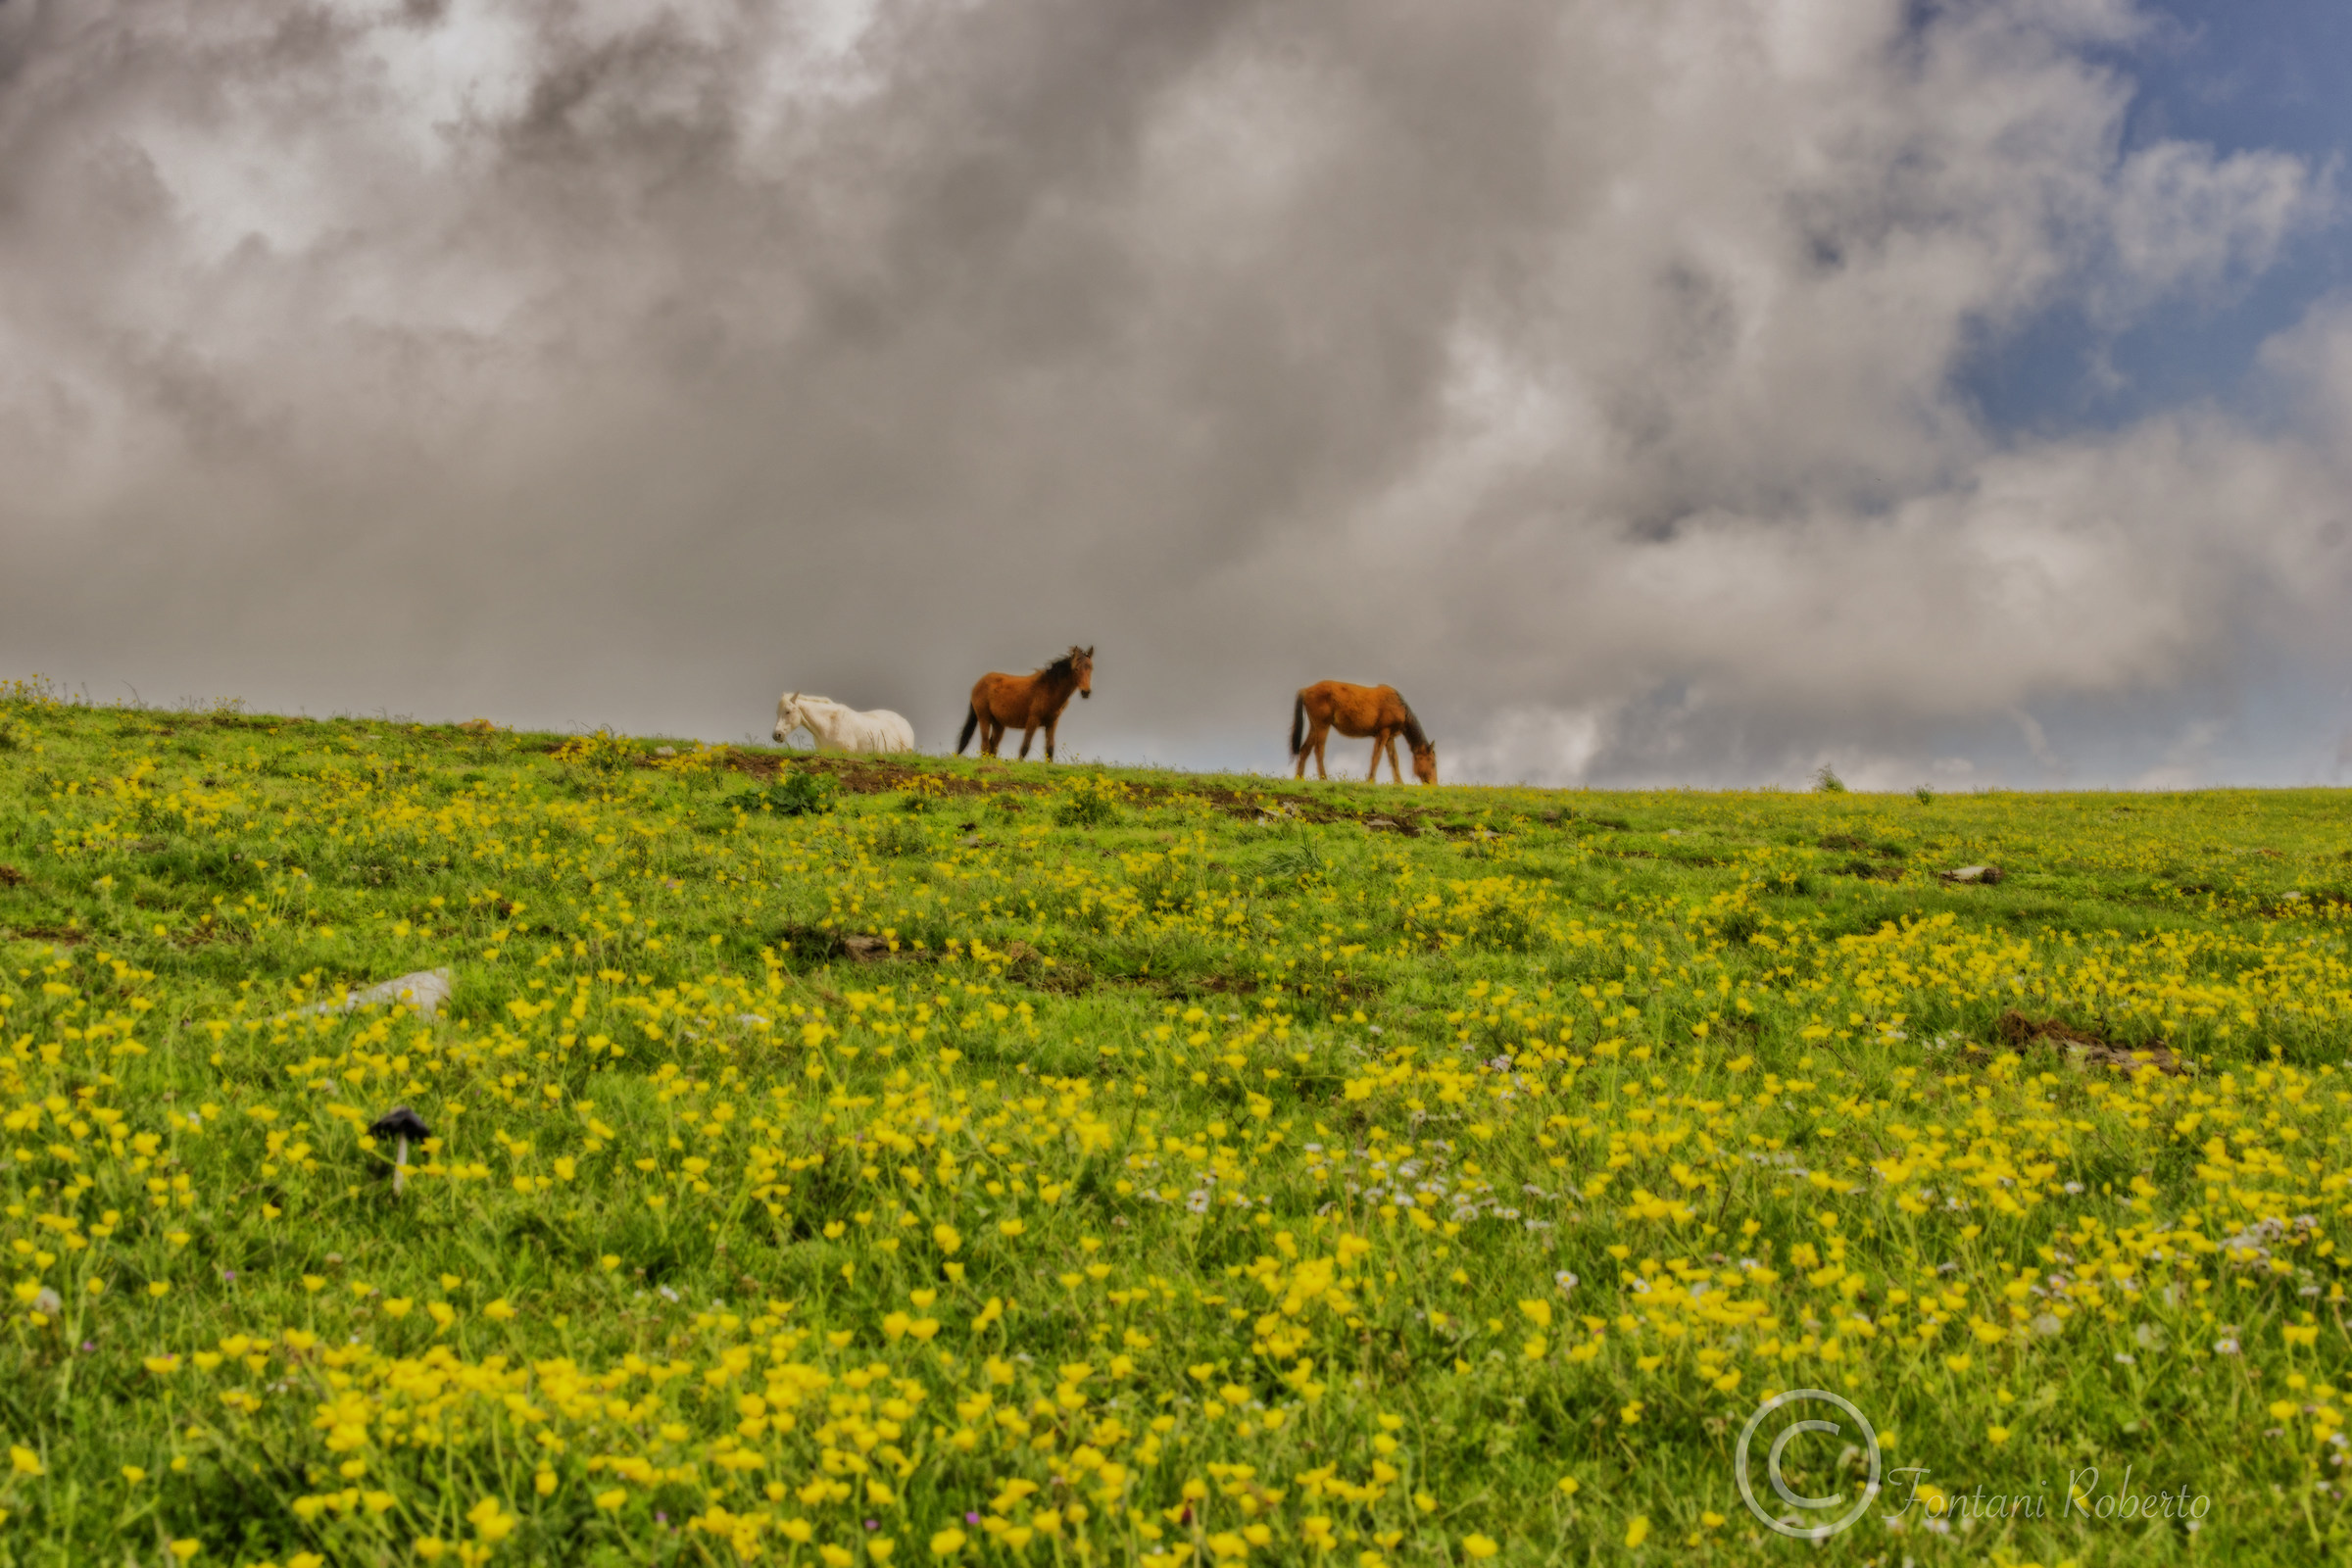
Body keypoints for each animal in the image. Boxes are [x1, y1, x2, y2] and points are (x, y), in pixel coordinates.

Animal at [956, 645, 1093, 761]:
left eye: (1091, 668)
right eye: (1076, 669)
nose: (1086, 692)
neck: (1049, 690)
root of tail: (978, 684)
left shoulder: (1052, 723)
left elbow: (1050, 750)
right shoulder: (1032, 721)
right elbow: (1024, 748)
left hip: (998, 724)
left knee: (992, 747)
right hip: (984, 718)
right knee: (985, 745)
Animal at [1290, 680, 1437, 784]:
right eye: (1433, 763)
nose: (1434, 784)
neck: (1398, 706)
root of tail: (1306, 690)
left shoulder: (1390, 737)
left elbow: (1394, 759)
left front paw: (1399, 783)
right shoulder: (1383, 733)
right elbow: (1376, 756)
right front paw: (1371, 780)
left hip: (1315, 727)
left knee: (1305, 750)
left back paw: (1299, 778)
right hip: (1322, 725)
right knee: (1319, 750)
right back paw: (1324, 778)